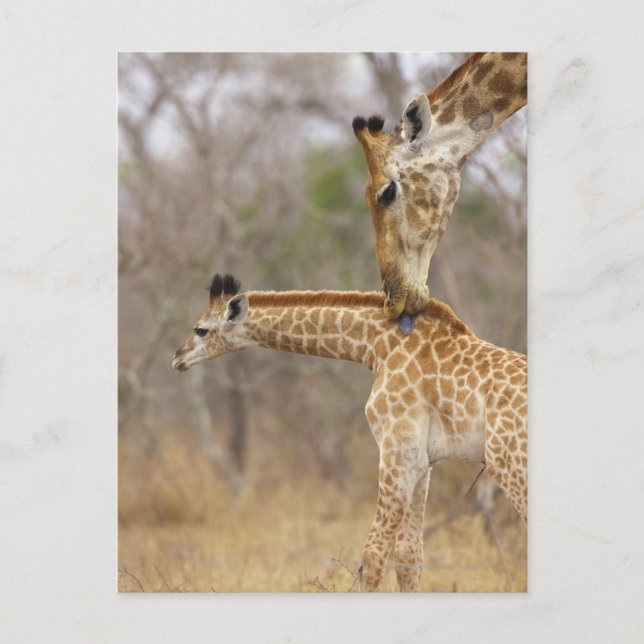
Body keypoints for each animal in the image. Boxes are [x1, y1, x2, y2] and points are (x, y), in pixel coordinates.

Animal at [172, 273, 527, 592]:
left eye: (200, 329)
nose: (177, 358)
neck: (377, 346)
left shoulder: (397, 450)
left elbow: (373, 556)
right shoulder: (422, 460)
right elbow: (409, 557)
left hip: (508, 462)